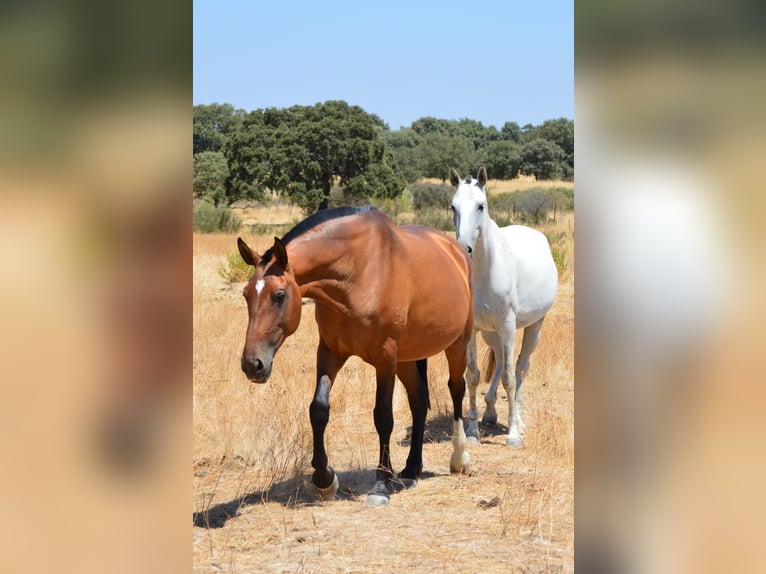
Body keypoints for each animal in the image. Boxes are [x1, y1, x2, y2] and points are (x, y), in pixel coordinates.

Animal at [237, 207, 474, 508]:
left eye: (279, 295)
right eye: (246, 294)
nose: (252, 364)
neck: (357, 273)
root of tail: (456, 250)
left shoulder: (385, 356)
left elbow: (383, 416)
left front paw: (381, 483)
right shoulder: (330, 352)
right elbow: (318, 410)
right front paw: (325, 479)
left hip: (457, 344)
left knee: (456, 389)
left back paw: (459, 458)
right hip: (407, 358)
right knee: (419, 400)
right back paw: (411, 469)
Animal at [450, 169, 560, 448]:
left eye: (481, 206)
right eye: (453, 206)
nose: (464, 249)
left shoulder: (508, 327)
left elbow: (510, 378)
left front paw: (512, 435)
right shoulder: (475, 330)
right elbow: (473, 376)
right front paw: (472, 431)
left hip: (533, 327)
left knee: (520, 368)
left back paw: (518, 422)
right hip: (492, 334)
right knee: (499, 361)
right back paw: (490, 412)